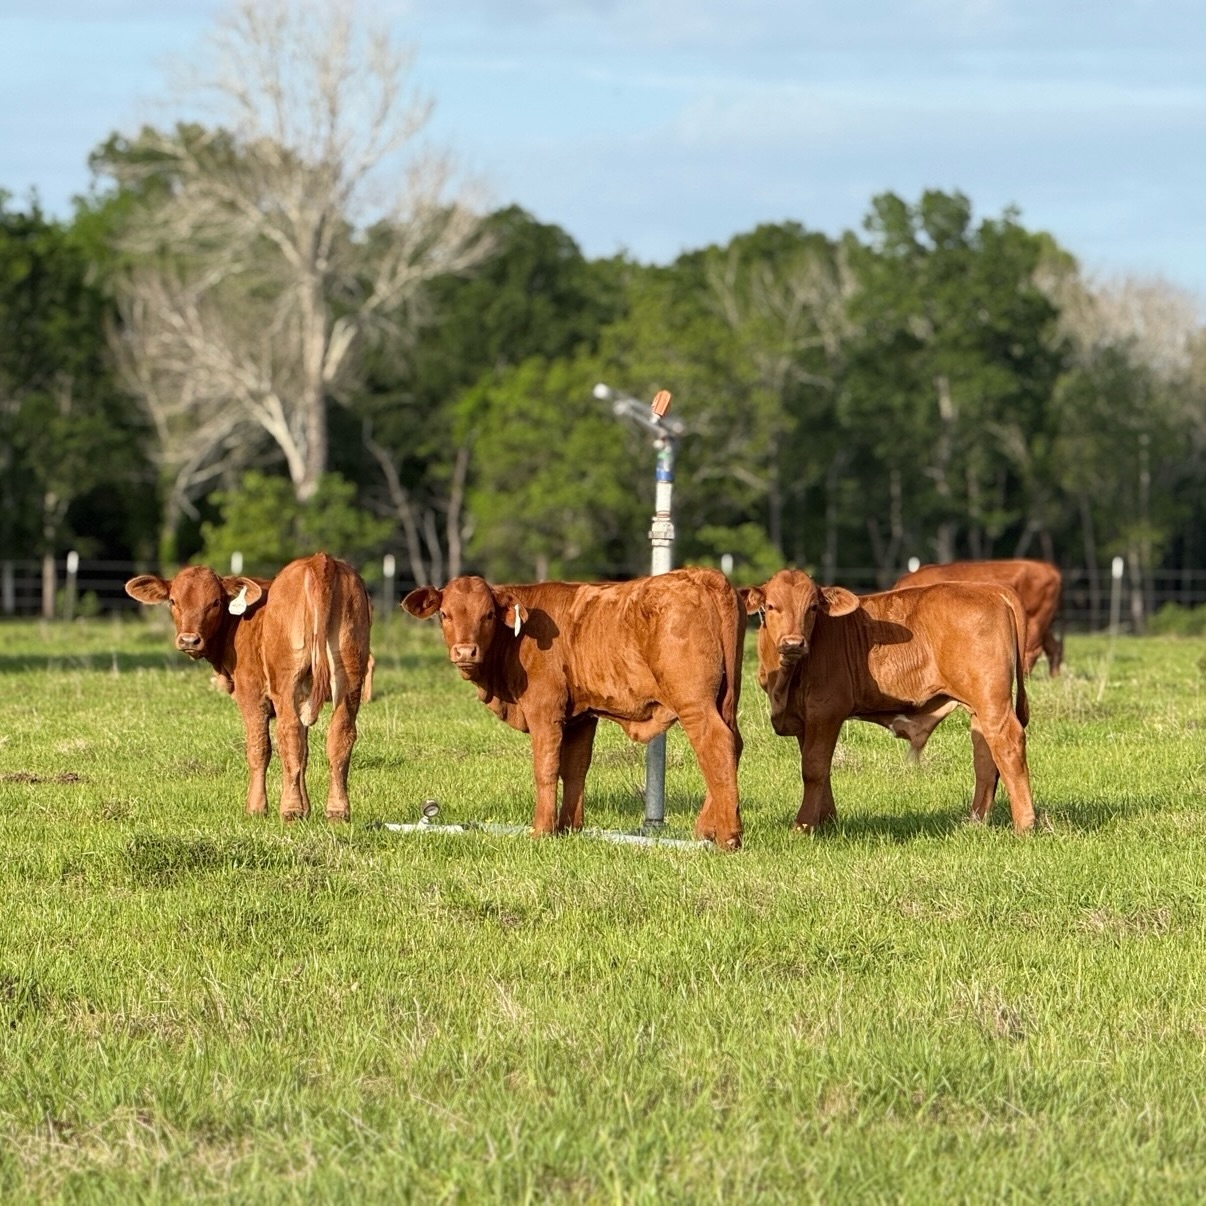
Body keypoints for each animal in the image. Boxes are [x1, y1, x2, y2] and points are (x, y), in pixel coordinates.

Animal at [125, 552, 372, 822]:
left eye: (215, 602)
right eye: (173, 600)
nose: (189, 640)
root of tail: (319, 560)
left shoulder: (252, 695)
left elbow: (259, 749)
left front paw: (257, 808)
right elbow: (303, 755)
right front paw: (306, 808)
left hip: (287, 683)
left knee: (289, 732)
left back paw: (290, 810)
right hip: (349, 678)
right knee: (340, 735)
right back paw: (337, 811)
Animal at [401, 568, 745, 849]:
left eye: (487, 615)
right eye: (444, 614)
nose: (465, 651)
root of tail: (700, 575)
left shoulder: (544, 711)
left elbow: (546, 768)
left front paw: (542, 830)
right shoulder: (581, 718)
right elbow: (575, 768)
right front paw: (569, 827)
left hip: (693, 702)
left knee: (715, 745)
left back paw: (728, 836)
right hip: (725, 700)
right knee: (733, 746)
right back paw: (706, 829)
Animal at [740, 570, 1036, 834]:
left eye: (812, 607)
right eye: (770, 606)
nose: (793, 643)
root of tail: (989, 589)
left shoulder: (825, 711)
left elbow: (813, 768)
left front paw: (803, 826)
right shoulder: (805, 719)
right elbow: (820, 769)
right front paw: (827, 820)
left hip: (992, 699)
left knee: (1008, 744)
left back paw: (1024, 824)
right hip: (979, 706)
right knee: (985, 756)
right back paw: (974, 822)